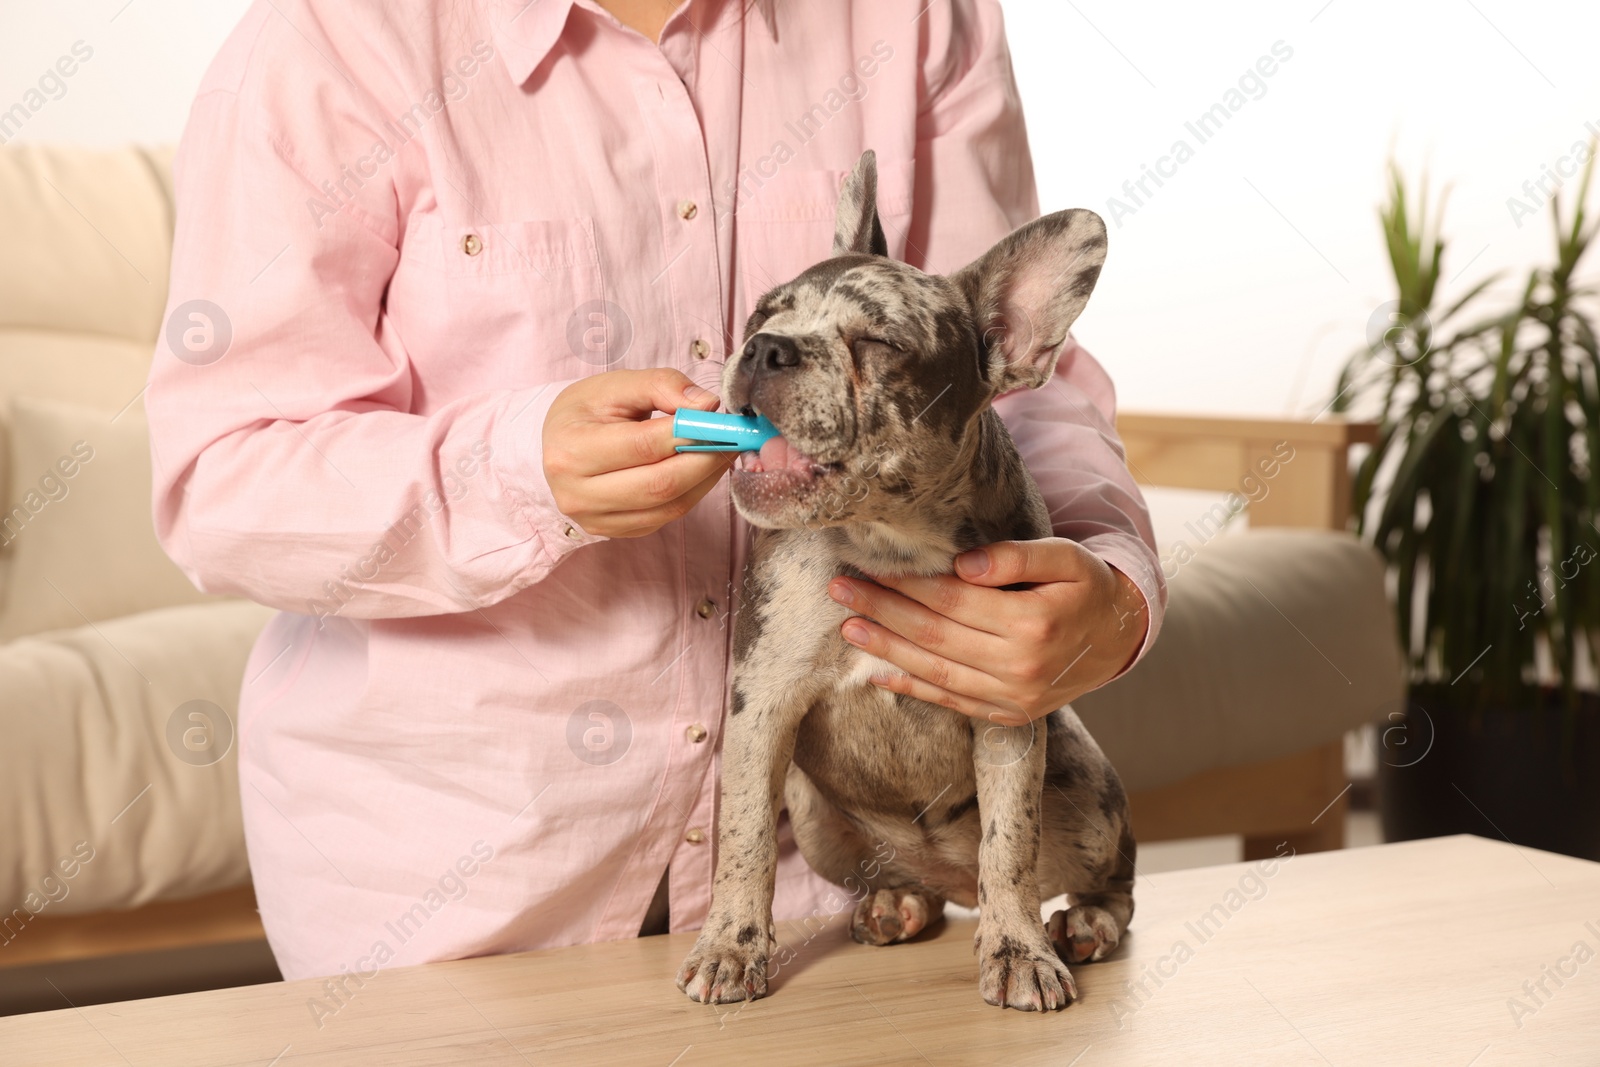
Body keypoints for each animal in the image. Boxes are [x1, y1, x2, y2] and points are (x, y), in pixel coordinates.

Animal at [675, 147, 1139, 1011]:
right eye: (761, 313)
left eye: (879, 341)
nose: (766, 348)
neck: (889, 539)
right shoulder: (762, 705)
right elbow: (743, 838)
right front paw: (730, 944)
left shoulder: (1008, 713)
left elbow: (1010, 847)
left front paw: (1018, 949)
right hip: (814, 813)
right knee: (896, 877)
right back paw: (897, 902)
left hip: (1089, 786)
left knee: (1101, 879)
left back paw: (1082, 923)